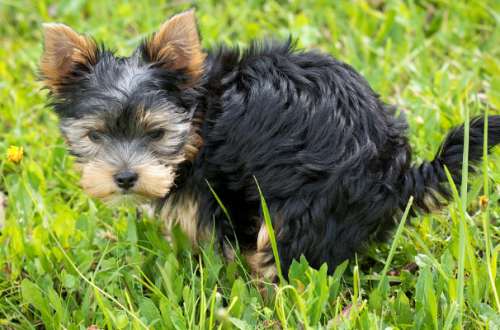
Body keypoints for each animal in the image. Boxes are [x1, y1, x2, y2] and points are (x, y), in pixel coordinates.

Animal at [40, 8, 500, 282]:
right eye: (95, 135)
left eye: (157, 134)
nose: (125, 178)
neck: (203, 117)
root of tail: (399, 173)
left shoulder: (219, 191)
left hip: (309, 204)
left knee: (287, 254)